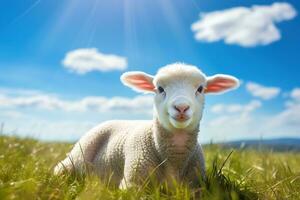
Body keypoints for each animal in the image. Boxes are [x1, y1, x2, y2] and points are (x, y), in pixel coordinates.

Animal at [52, 63, 238, 189]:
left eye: (200, 89)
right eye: (159, 88)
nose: (181, 107)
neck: (174, 161)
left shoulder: (195, 185)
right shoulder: (133, 183)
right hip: (78, 155)